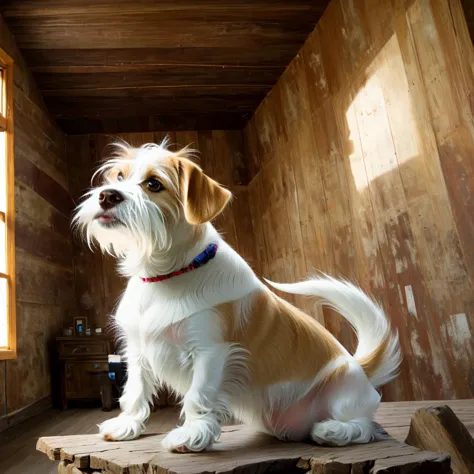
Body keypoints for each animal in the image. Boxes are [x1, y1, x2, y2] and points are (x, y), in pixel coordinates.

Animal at [73, 140, 400, 452]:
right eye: (119, 176)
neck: (164, 275)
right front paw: (126, 425)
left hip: (342, 392)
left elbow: (198, 396)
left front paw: (192, 435)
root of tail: (362, 370)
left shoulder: (210, 352)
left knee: (368, 427)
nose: (107, 196)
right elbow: (135, 392)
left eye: (154, 184)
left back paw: (333, 431)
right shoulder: (138, 351)